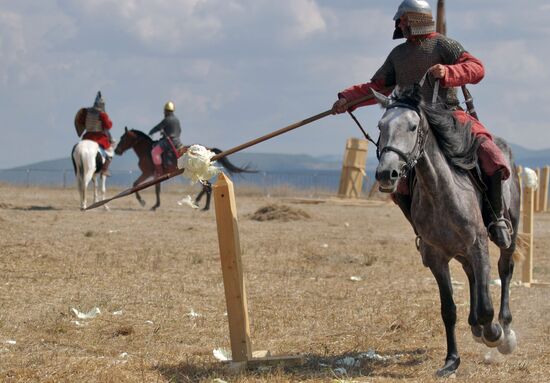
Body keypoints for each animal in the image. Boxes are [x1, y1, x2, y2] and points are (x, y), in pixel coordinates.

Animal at [116, 127, 254, 212]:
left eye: (123, 138)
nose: (117, 151)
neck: (146, 151)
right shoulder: (156, 175)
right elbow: (156, 189)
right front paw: (155, 205)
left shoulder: (148, 173)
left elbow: (136, 184)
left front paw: (144, 202)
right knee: (206, 186)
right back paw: (199, 202)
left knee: (208, 186)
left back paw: (204, 206)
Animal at [370, 86, 520, 378]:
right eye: (381, 126)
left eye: (412, 126)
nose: (386, 173)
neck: (440, 191)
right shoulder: (437, 257)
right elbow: (448, 309)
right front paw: (451, 360)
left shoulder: (478, 246)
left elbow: (487, 306)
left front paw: (494, 333)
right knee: (472, 276)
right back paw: (475, 326)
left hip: (509, 233)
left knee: (504, 270)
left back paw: (505, 330)